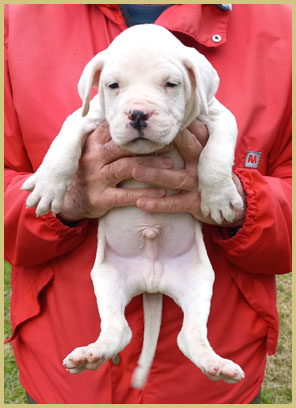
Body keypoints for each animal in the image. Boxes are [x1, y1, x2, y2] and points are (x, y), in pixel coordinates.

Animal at [22, 24, 245, 388]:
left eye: (171, 84)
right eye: (113, 86)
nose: (138, 114)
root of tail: (152, 283)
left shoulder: (217, 114)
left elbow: (216, 154)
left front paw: (217, 196)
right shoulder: (90, 115)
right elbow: (65, 139)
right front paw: (49, 183)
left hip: (199, 281)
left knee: (189, 335)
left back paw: (217, 365)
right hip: (106, 280)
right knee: (119, 330)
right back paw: (90, 355)